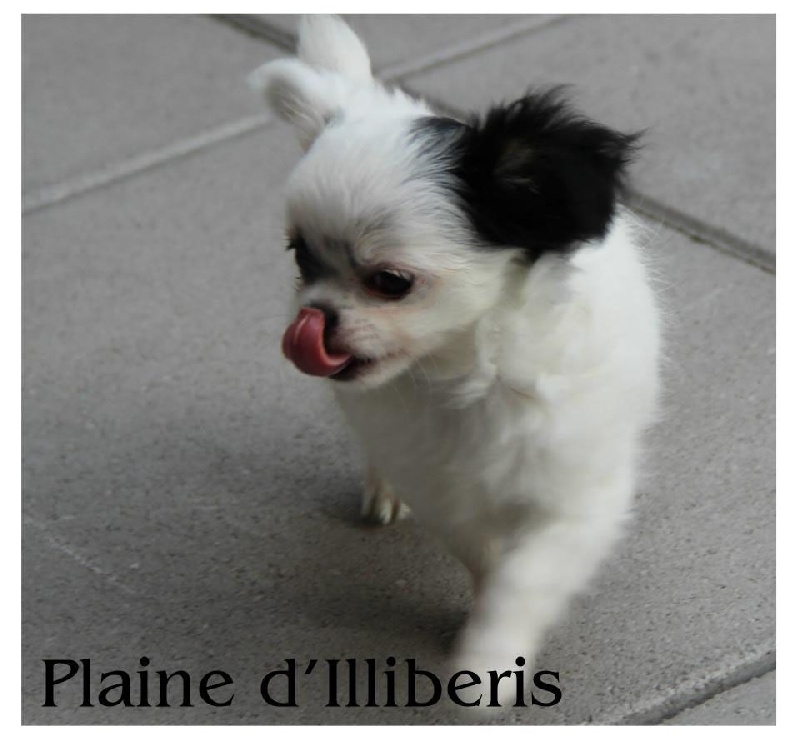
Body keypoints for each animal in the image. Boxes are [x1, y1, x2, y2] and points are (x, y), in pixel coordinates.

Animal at [250, 15, 661, 708]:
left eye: (390, 282)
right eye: (301, 257)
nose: (311, 319)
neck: (470, 373)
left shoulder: (576, 493)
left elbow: (527, 574)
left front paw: (491, 655)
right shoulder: (441, 486)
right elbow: (484, 553)